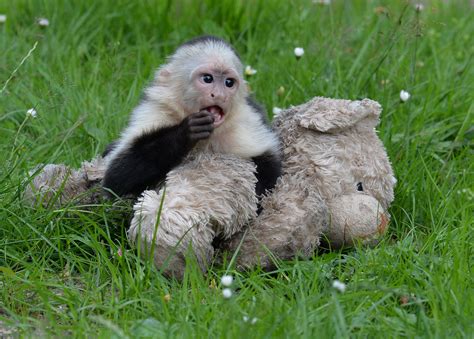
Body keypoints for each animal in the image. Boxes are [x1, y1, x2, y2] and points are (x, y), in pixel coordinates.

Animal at [103, 36, 282, 201]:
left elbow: (269, 165)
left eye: (229, 82)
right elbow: (116, 177)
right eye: (207, 79)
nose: (220, 95)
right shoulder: (155, 111)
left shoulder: (245, 122)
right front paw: (186, 132)